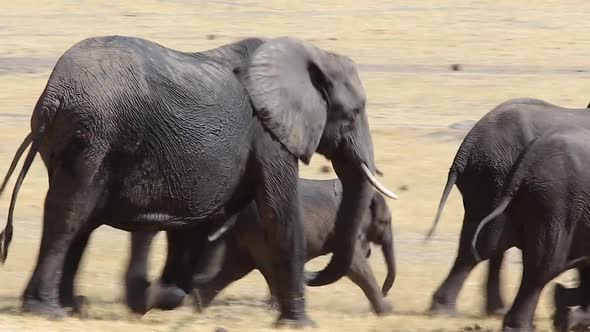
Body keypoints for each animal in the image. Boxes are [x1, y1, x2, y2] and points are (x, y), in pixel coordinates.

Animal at [0, 34, 400, 326]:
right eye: (354, 113)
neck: (309, 54)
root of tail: (52, 96)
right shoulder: (268, 134)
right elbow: (280, 214)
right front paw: (299, 325)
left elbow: (198, 227)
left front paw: (159, 298)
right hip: (92, 134)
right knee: (70, 215)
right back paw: (48, 310)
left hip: (80, 138)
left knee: (80, 218)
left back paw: (69, 307)